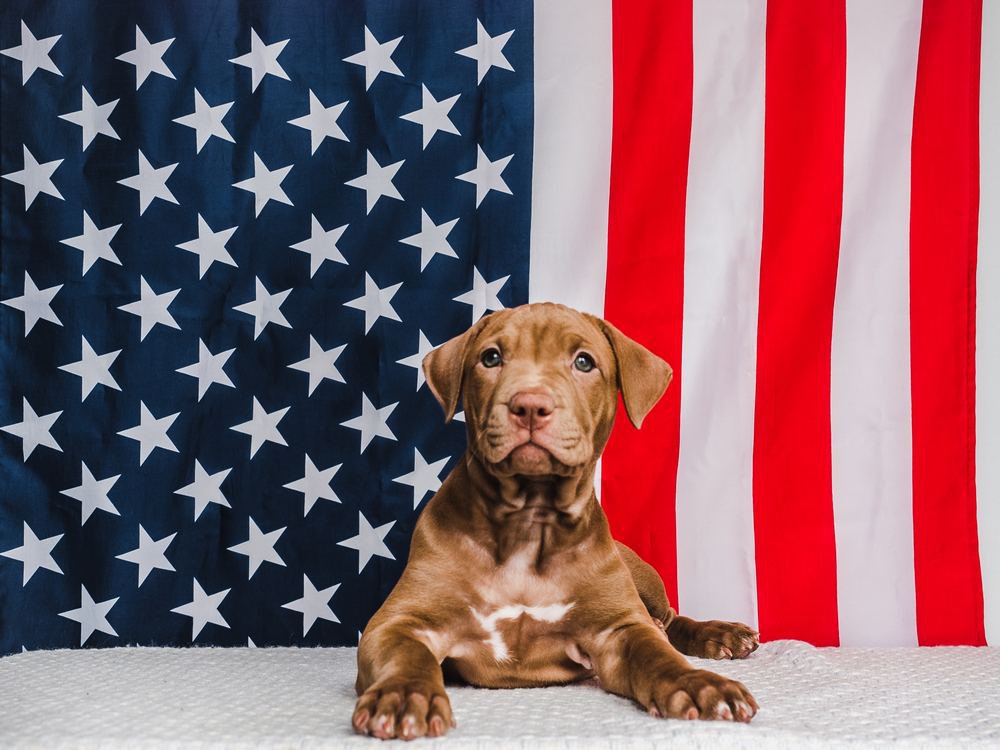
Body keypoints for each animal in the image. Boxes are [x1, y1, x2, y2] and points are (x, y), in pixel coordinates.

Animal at [354, 304, 756, 740]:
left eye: (583, 362)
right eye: (491, 357)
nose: (530, 404)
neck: (529, 521)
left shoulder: (620, 629)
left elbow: (657, 655)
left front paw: (697, 684)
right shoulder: (398, 622)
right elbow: (406, 654)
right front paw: (404, 694)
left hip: (639, 574)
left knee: (669, 620)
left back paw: (720, 634)